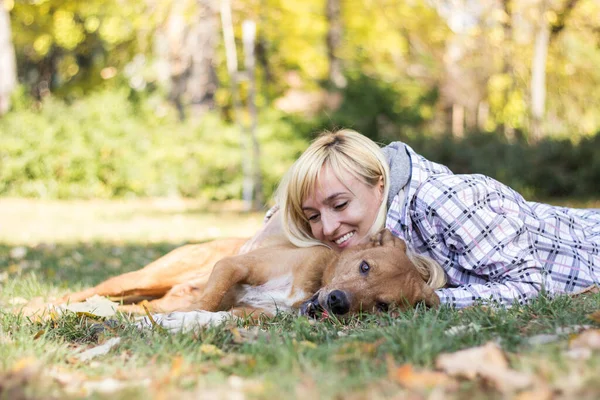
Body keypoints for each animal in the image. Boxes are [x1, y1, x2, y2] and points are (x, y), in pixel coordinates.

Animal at [58, 228, 438, 332]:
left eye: (382, 306)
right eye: (364, 266)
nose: (338, 302)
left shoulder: (252, 315)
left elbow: (214, 316)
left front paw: (175, 323)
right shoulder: (233, 266)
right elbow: (207, 303)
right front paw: (172, 324)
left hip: (147, 295)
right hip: (141, 278)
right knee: (82, 293)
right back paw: (46, 309)